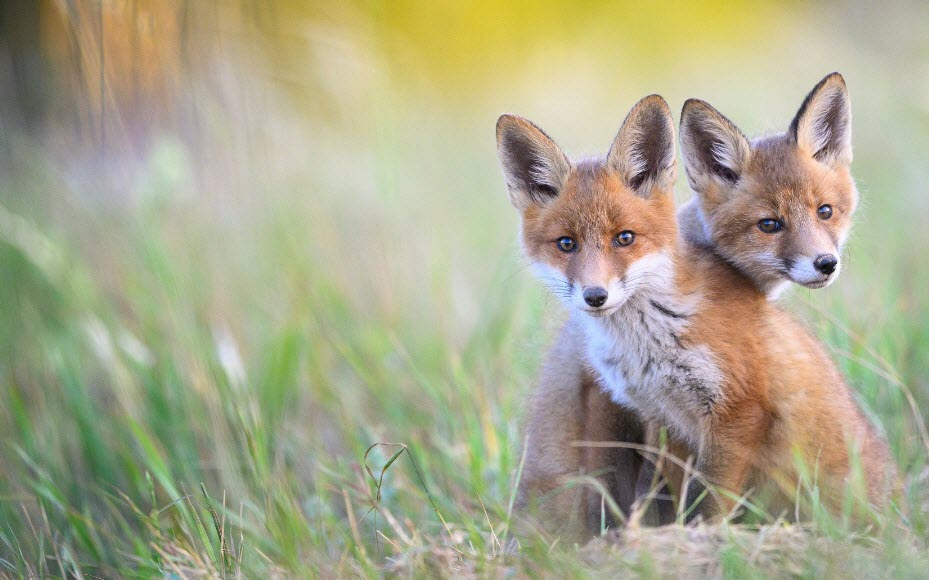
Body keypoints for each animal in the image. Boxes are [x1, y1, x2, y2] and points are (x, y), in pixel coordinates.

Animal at [497, 93, 893, 535]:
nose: (595, 296)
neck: (652, 334)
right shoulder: (656, 416)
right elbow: (666, 497)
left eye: (624, 238)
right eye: (566, 244)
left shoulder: (734, 411)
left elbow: (706, 503)